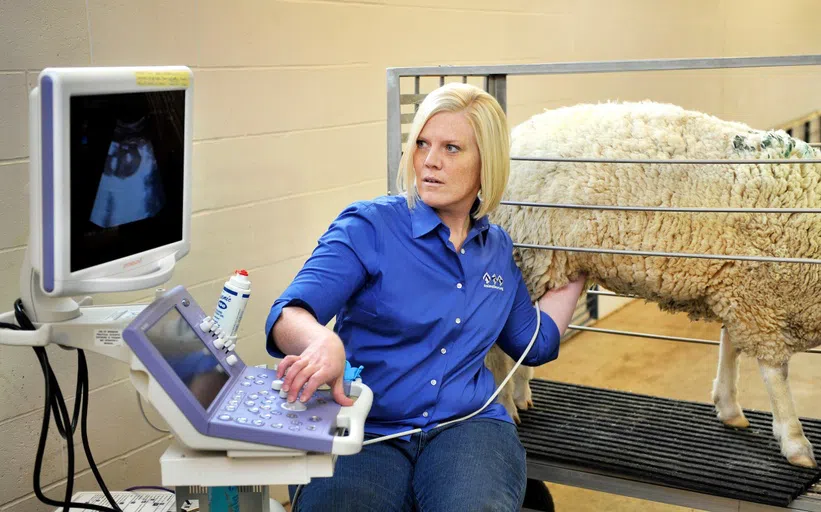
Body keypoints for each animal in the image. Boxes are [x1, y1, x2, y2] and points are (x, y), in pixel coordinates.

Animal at [484, 101, 820, 468]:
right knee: (496, 348)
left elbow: (730, 345)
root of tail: (514, 135)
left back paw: (520, 394)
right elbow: (776, 373)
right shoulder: (761, 297)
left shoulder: (738, 287)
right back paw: (505, 406)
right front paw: (794, 440)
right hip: (525, 257)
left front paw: (728, 404)